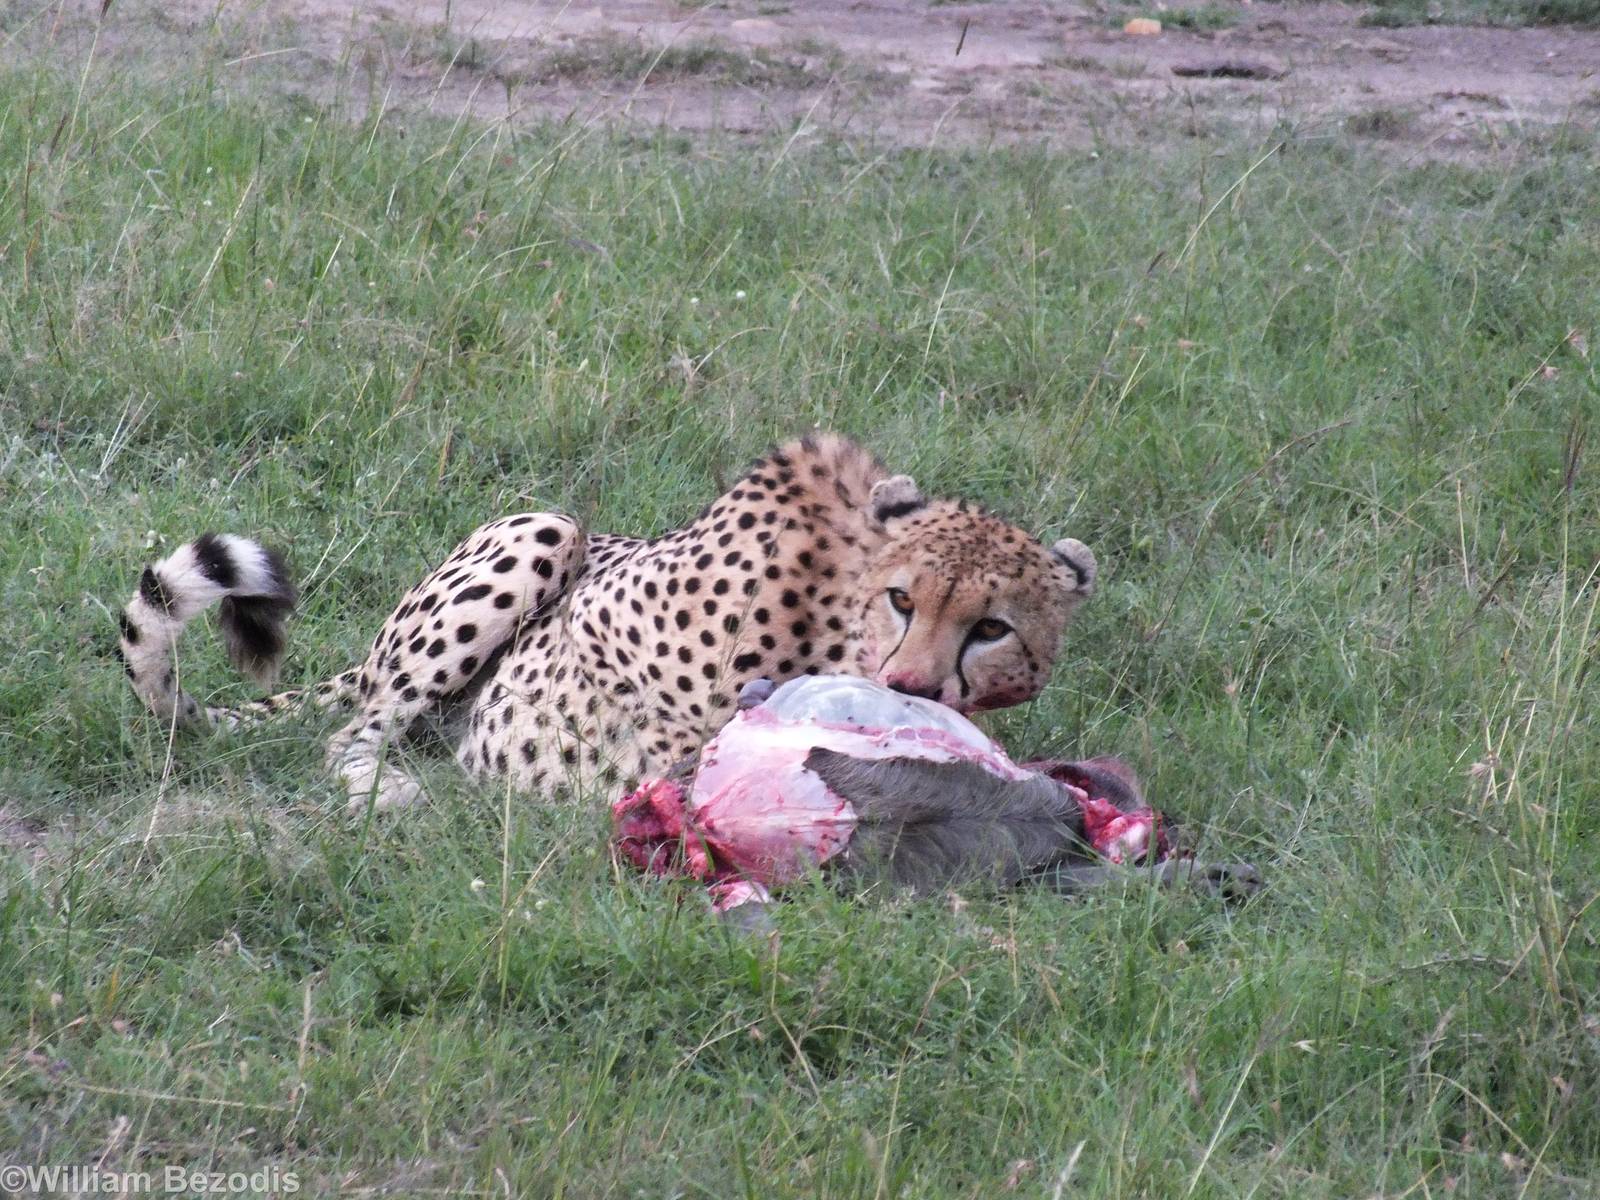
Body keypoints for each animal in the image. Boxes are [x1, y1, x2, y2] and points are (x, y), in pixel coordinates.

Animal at [115, 433, 1097, 810]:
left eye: (994, 628)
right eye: (904, 600)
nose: (913, 685)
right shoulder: (607, 628)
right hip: (542, 527)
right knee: (352, 732)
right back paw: (391, 789)